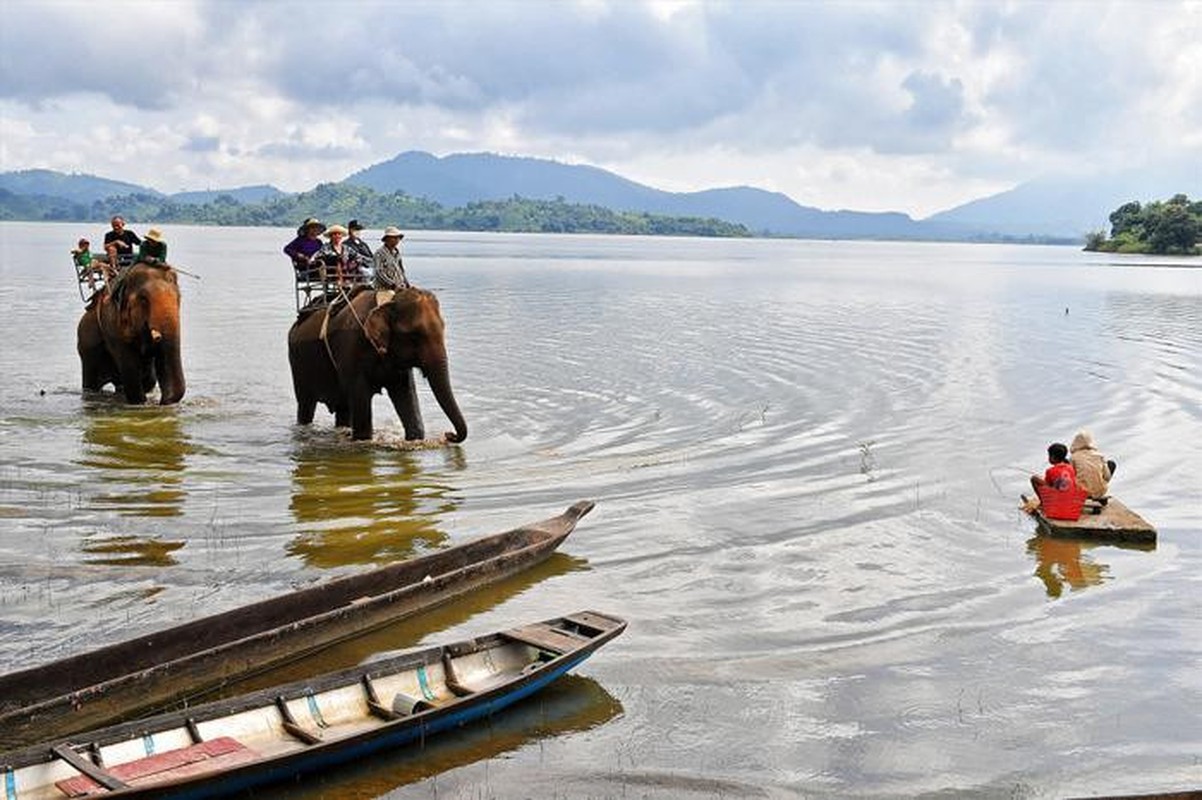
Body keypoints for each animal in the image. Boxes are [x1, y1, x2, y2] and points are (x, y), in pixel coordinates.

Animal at [77, 264, 186, 406]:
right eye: (143, 299)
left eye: (179, 298)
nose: (161, 402)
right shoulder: (112, 322)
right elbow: (129, 365)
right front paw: (141, 403)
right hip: (86, 350)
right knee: (92, 383)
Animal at [288, 284, 466, 442]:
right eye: (414, 335)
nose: (449, 435)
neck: (387, 301)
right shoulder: (350, 348)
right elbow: (361, 401)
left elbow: (406, 394)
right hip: (297, 365)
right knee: (305, 405)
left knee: (343, 408)